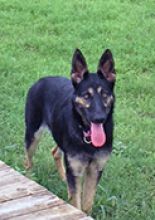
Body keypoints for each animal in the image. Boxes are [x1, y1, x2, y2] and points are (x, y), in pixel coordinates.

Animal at [24, 48, 115, 213]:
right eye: (86, 96)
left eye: (104, 94)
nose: (99, 119)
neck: (87, 136)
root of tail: (41, 80)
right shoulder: (76, 170)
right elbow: (76, 204)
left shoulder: (95, 169)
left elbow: (87, 204)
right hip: (33, 134)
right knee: (27, 160)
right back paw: (30, 178)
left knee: (55, 153)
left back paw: (63, 179)